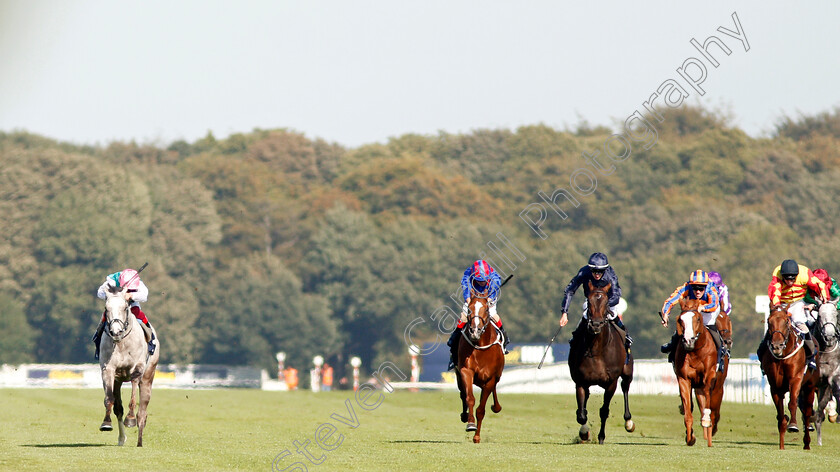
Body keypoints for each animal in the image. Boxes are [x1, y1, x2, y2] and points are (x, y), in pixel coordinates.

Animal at [99, 284, 160, 446]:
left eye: (125, 307)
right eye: (106, 308)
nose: (116, 331)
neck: (122, 343)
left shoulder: (137, 368)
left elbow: (133, 399)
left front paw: (130, 419)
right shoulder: (108, 369)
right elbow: (109, 399)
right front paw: (106, 423)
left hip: (148, 377)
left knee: (143, 412)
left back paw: (139, 442)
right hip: (118, 381)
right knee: (118, 408)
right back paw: (122, 439)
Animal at [456, 292, 502, 442]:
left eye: (486, 309)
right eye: (469, 309)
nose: (475, 331)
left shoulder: (490, 379)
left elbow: (481, 410)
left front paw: (476, 437)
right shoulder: (466, 371)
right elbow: (469, 398)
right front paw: (471, 424)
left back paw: (496, 406)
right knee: (463, 394)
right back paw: (465, 416)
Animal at [568, 280, 632, 442]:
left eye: (606, 303)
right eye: (589, 302)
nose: (595, 325)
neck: (596, 350)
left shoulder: (611, 383)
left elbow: (604, 411)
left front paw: (601, 436)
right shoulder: (581, 381)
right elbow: (581, 415)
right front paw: (584, 432)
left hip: (628, 371)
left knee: (625, 387)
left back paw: (629, 421)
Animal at [668, 298, 728, 446]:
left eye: (698, 319)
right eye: (680, 319)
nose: (688, 341)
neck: (695, 351)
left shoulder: (709, 376)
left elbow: (708, 404)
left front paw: (707, 420)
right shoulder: (684, 379)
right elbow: (688, 410)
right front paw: (690, 437)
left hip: (718, 386)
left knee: (715, 410)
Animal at [756, 304, 816, 448]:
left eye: (786, 321)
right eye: (769, 321)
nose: (777, 346)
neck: (782, 357)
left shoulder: (795, 379)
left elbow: (792, 403)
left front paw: (793, 425)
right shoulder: (775, 385)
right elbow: (780, 413)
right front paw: (782, 444)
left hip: (809, 386)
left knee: (807, 412)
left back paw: (807, 442)